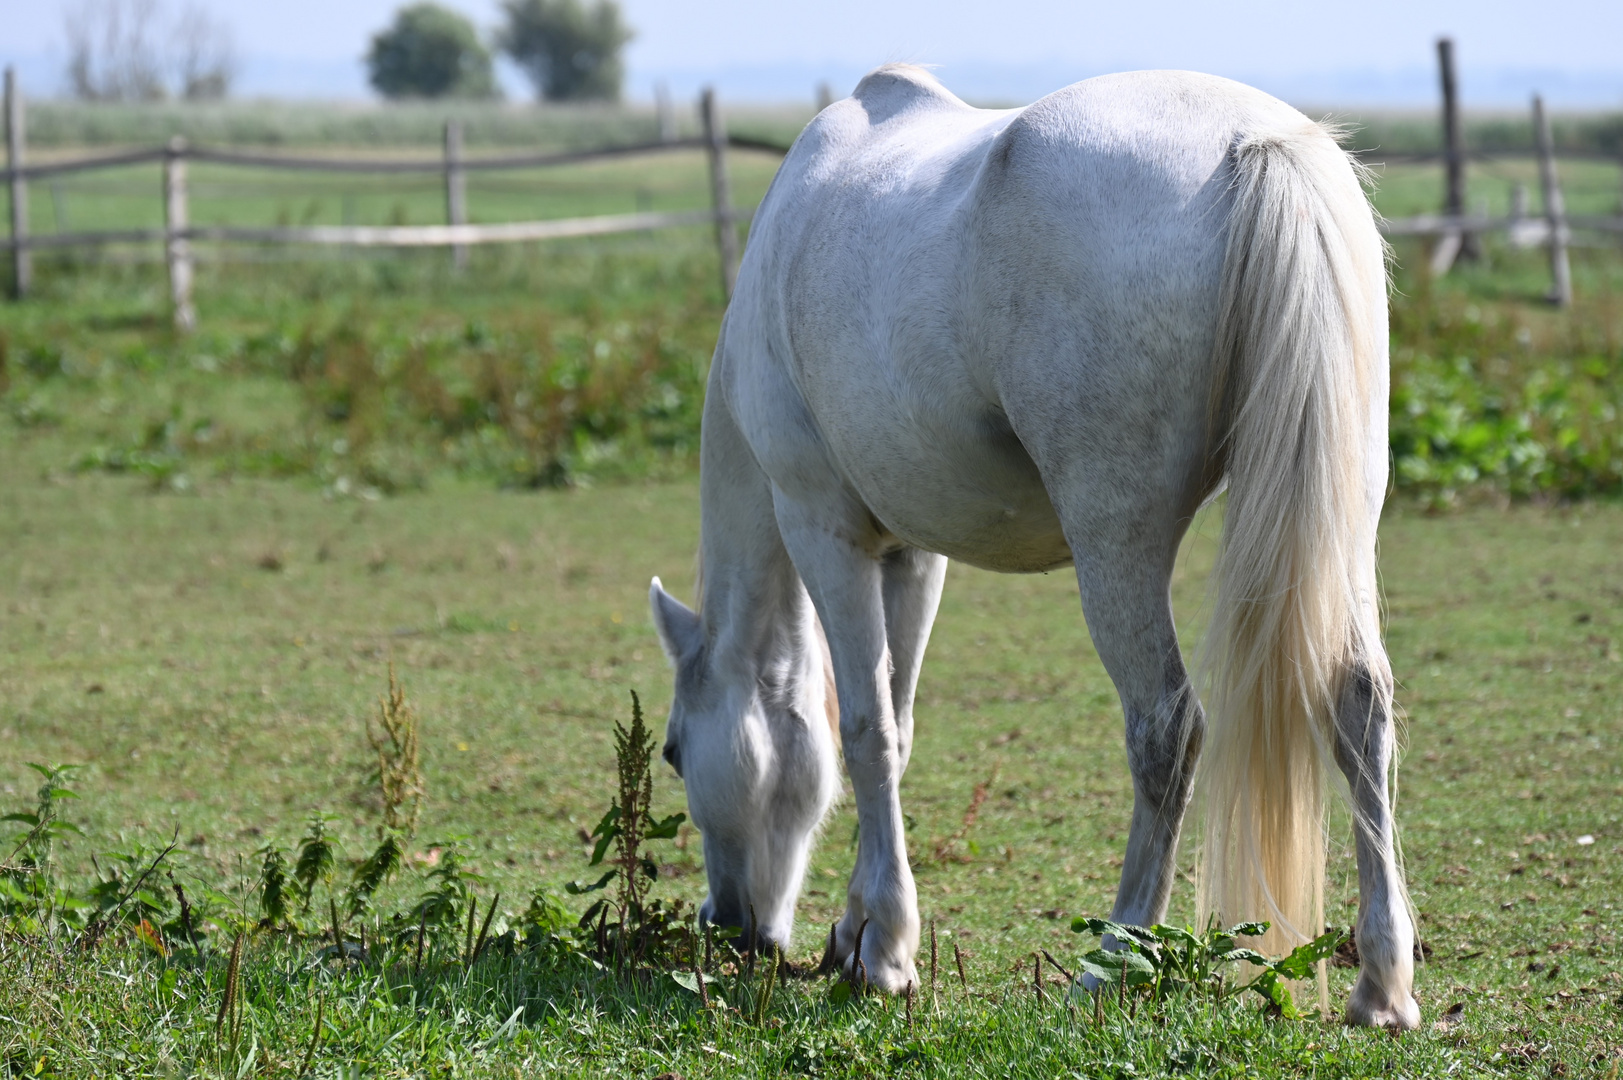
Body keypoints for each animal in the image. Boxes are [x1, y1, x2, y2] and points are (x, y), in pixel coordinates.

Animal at [652, 63, 1415, 1026]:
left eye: (674, 750)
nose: (728, 922)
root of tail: (1254, 143)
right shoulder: (912, 554)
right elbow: (896, 724)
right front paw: (857, 932)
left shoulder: (823, 529)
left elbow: (863, 729)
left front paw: (884, 953)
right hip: (1343, 521)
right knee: (1357, 704)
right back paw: (1381, 986)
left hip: (1115, 543)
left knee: (1166, 728)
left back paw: (1115, 957)